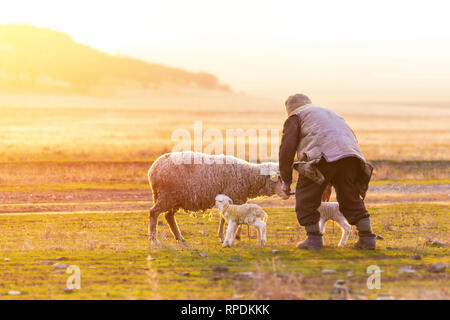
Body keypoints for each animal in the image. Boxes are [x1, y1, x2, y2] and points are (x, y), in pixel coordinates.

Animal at [148, 152, 288, 242]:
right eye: (279, 178)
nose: (288, 193)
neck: (248, 177)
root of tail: (154, 169)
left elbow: (226, 218)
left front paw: (228, 235)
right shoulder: (234, 197)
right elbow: (230, 219)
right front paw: (229, 236)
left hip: (175, 198)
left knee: (168, 216)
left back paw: (179, 237)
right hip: (168, 196)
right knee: (154, 212)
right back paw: (153, 238)